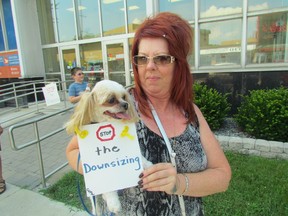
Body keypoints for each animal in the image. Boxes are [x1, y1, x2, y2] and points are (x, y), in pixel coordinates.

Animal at [66, 80, 152, 215]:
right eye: (111, 100)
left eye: (124, 97)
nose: (126, 104)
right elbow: (108, 188)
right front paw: (114, 203)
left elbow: (141, 157)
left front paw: (147, 164)